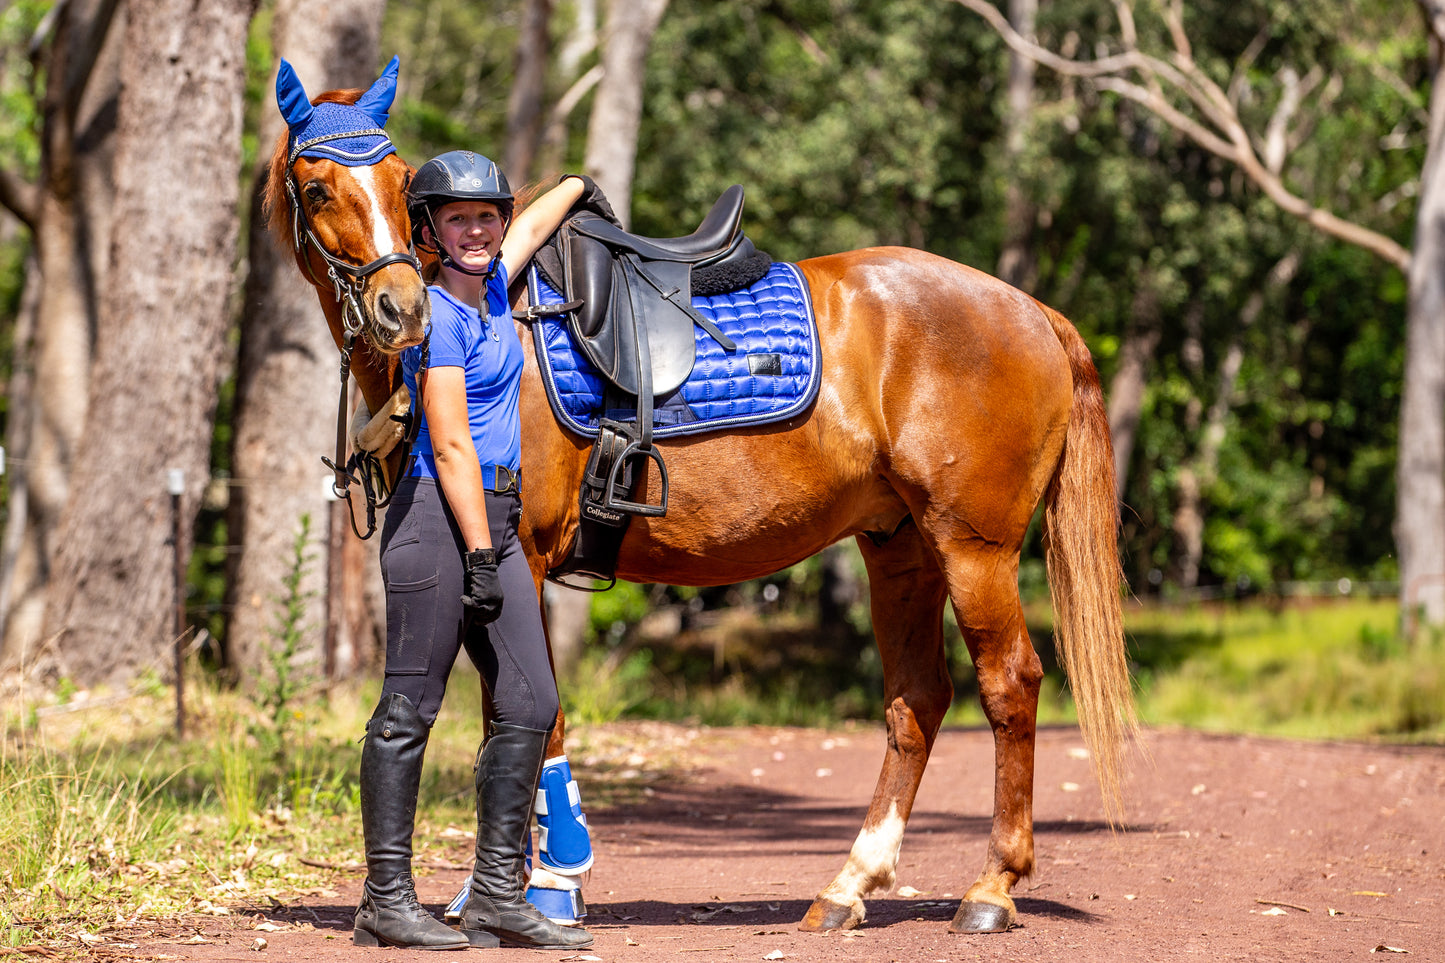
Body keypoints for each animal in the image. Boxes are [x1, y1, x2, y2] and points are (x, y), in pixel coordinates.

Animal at [265, 78, 1132, 931]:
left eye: (399, 179)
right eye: (318, 188)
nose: (402, 308)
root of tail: (1031, 310)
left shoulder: (526, 560)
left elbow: (528, 715)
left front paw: (548, 881)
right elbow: (510, 719)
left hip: (972, 546)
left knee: (1009, 683)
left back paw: (991, 886)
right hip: (900, 547)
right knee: (917, 698)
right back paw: (848, 884)